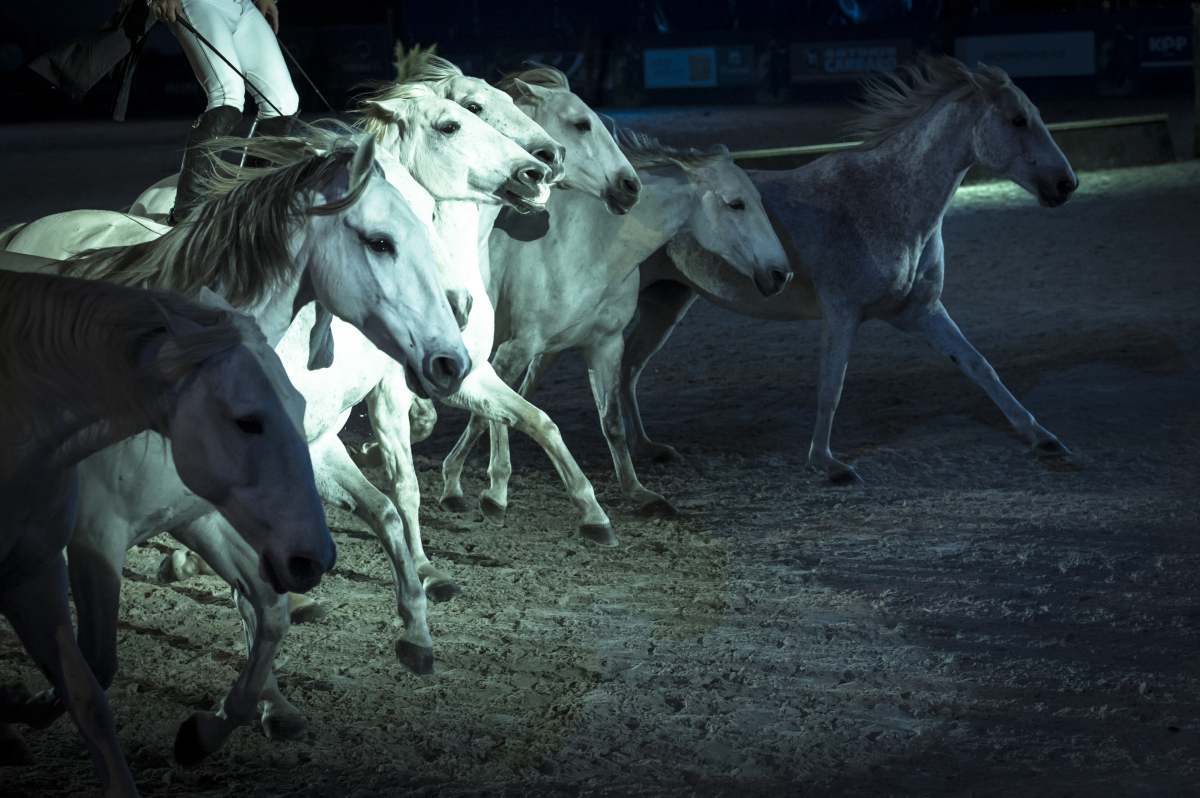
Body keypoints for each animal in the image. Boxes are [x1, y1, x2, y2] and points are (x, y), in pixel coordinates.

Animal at [0, 268, 332, 797]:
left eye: (299, 405)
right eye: (248, 421)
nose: (315, 558)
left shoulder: (197, 518)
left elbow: (269, 613)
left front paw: (203, 734)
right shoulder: (94, 539)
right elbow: (97, 665)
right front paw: (21, 706)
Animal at [447, 127, 791, 523]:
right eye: (736, 204)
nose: (780, 274)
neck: (586, 249)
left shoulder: (605, 346)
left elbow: (611, 422)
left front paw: (639, 494)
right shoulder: (515, 350)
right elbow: (492, 415)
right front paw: (474, 489)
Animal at [617, 56, 1077, 484]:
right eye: (1018, 119)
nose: (1066, 184)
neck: (884, 200)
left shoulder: (920, 312)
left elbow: (978, 365)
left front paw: (1043, 437)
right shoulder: (842, 314)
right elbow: (831, 387)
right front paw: (827, 463)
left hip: (666, 303)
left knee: (629, 370)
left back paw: (647, 448)